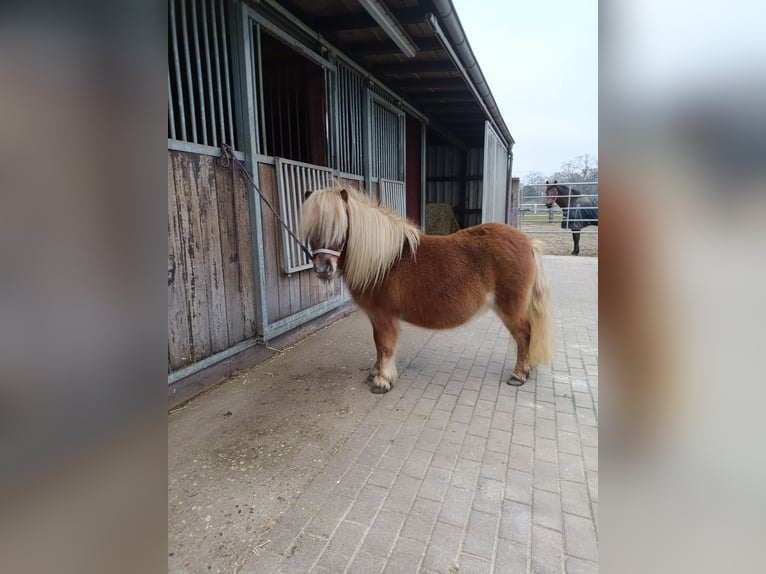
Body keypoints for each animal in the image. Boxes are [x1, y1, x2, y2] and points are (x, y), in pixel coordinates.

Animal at [296, 187, 556, 394]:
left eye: (340, 228)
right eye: (311, 230)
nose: (323, 269)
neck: (384, 261)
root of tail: (528, 242)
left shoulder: (384, 315)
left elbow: (385, 345)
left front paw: (382, 380)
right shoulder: (376, 317)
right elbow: (377, 344)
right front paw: (375, 372)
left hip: (511, 307)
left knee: (524, 334)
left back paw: (519, 375)